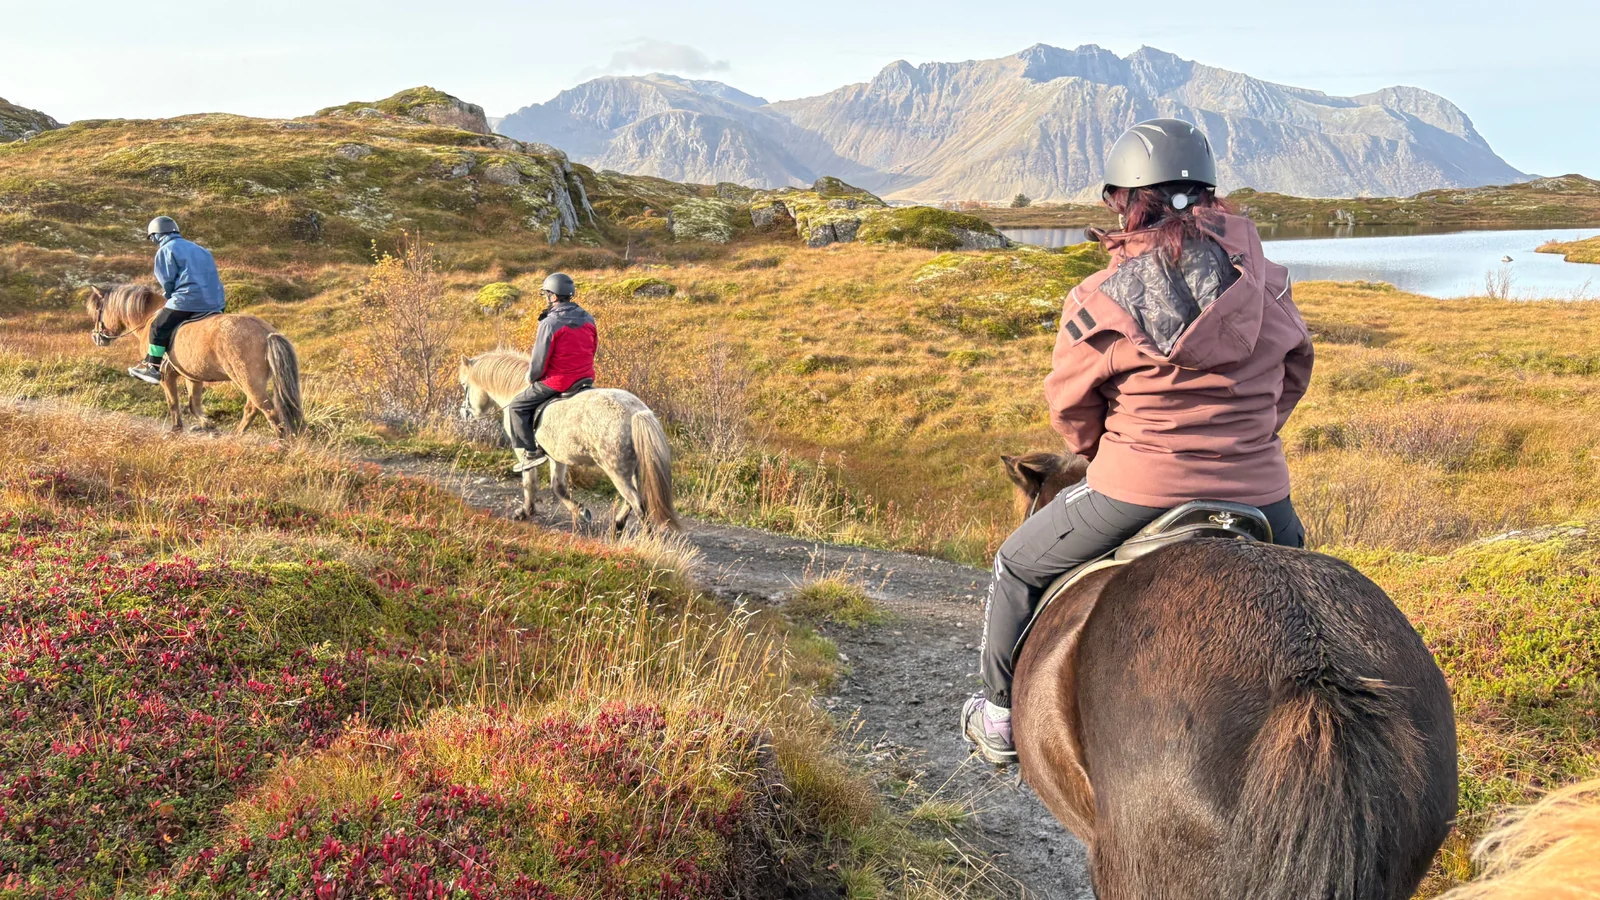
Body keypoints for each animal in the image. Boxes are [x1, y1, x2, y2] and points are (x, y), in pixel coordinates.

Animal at [86, 284, 304, 438]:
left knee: (269, 411)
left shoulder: (166, 375)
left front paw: (176, 429)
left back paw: (281, 446)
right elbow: (194, 404)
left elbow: (173, 402)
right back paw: (236, 436)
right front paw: (208, 426)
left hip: (247, 380)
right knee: (253, 409)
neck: (148, 317)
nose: (96, 337)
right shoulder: (192, 376)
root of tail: (267, 333)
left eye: (98, 310)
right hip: (253, 382)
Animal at [458, 350, 681, 534]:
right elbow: (558, 487)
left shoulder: (524, 453)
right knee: (632, 500)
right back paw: (617, 526)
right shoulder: (557, 456)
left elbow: (529, 482)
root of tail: (636, 412)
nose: (464, 413)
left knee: (637, 502)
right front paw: (581, 511)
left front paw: (525, 511)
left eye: (464, 385)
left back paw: (646, 539)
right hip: (631, 467)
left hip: (616, 469)